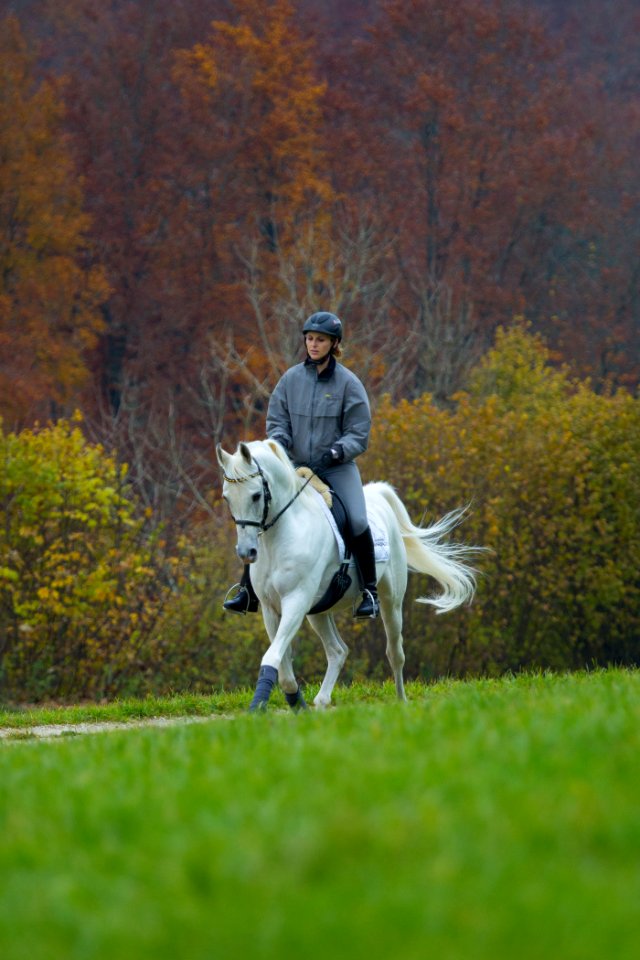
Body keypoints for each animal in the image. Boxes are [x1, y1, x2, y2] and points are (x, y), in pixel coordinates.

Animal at [216, 438, 480, 708]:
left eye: (256, 495)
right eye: (227, 498)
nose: (246, 552)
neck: (282, 534)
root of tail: (378, 495)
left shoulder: (296, 600)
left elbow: (272, 658)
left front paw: (258, 707)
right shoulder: (271, 609)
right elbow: (284, 668)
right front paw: (296, 705)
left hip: (391, 602)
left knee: (395, 653)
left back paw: (400, 701)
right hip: (319, 611)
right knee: (338, 650)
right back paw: (322, 701)